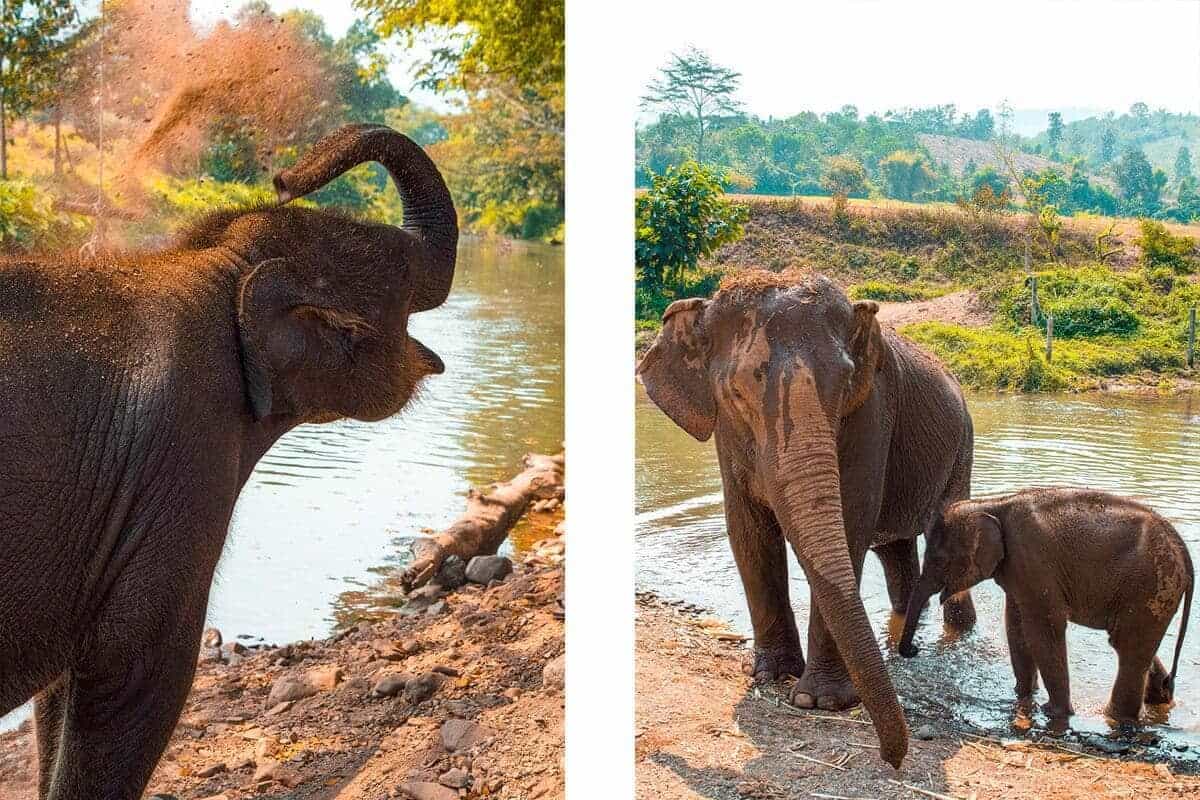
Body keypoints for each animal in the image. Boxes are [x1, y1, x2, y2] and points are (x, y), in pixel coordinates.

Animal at [0, 123, 457, 799]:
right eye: (401, 283)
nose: (284, 178)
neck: (214, 266)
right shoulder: (181, 459)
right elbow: (133, 674)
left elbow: (59, 697)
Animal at [636, 270, 975, 767]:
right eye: (735, 393)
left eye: (848, 380)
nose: (893, 759)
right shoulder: (727, 435)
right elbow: (747, 532)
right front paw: (768, 675)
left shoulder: (871, 413)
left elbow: (849, 528)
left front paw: (820, 702)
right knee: (894, 553)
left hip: (962, 448)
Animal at [898, 488, 1194, 727]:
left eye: (939, 560)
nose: (913, 650)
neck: (992, 504)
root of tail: (1185, 554)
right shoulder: (1017, 570)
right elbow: (1015, 626)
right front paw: (1022, 695)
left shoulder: (1032, 562)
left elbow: (1043, 629)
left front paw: (1054, 711)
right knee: (1134, 647)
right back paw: (1159, 700)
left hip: (1153, 586)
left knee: (1128, 648)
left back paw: (1114, 717)